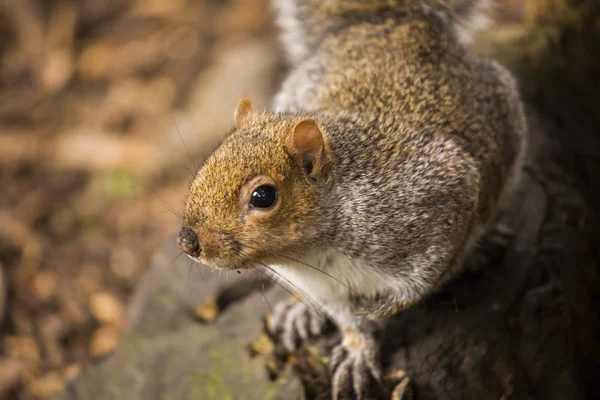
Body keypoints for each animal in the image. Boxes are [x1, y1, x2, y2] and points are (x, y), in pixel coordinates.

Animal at [177, 1, 524, 398]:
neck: (313, 252)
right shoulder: (322, 287)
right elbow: (347, 321)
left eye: (263, 196)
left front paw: (378, 309)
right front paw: (358, 351)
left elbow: (421, 280)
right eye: (209, 160)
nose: (187, 242)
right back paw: (300, 314)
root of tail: (395, 24)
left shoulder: (440, 194)